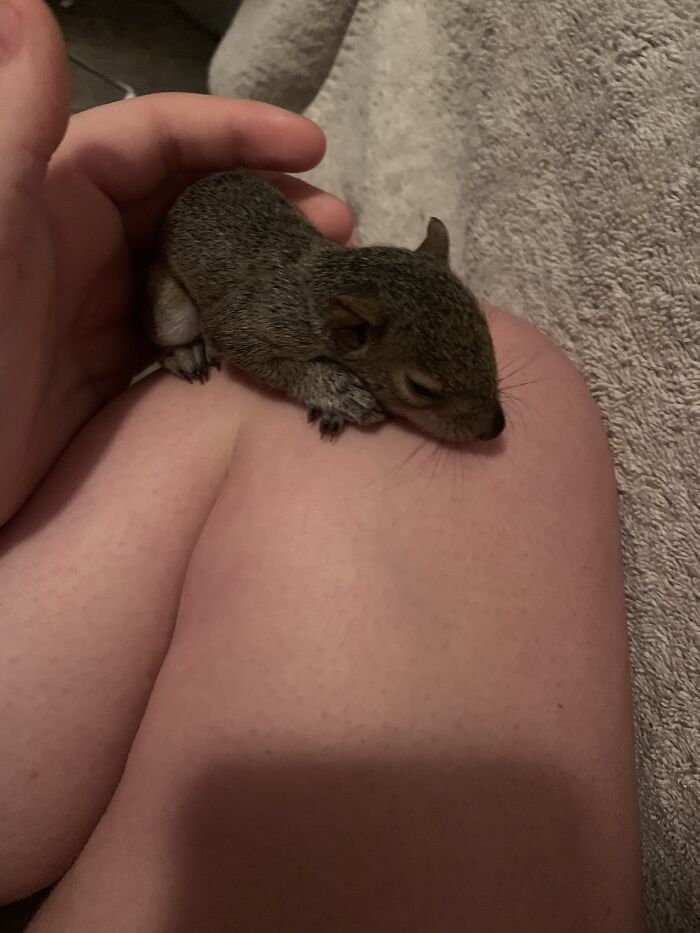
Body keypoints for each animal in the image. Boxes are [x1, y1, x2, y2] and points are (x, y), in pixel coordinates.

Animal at [143, 170, 504, 443]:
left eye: (489, 339)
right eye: (420, 388)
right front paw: (338, 391)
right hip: (172, 310)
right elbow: (254, 352)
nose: (495, 427)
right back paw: (186, 353)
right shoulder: (262, 320)